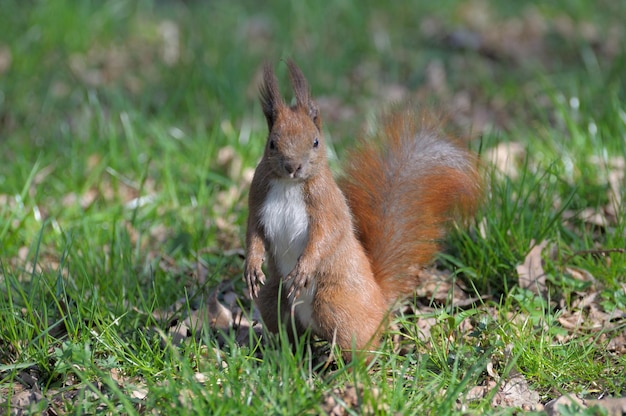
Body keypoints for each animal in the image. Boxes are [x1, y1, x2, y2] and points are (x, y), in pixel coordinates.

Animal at [243, 59, 478, 358]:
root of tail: (381, 303)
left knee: (359, 346)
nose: (293, 166)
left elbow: (325, 236)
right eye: (272, 142)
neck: (288, 184)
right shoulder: (257, 199)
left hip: (335, 304)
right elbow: (254, 234)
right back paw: (286, 354)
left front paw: (303, 269)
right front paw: (252, 267)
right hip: (273, 298)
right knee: (292, 331)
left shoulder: (328, 206)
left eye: (315, 141)